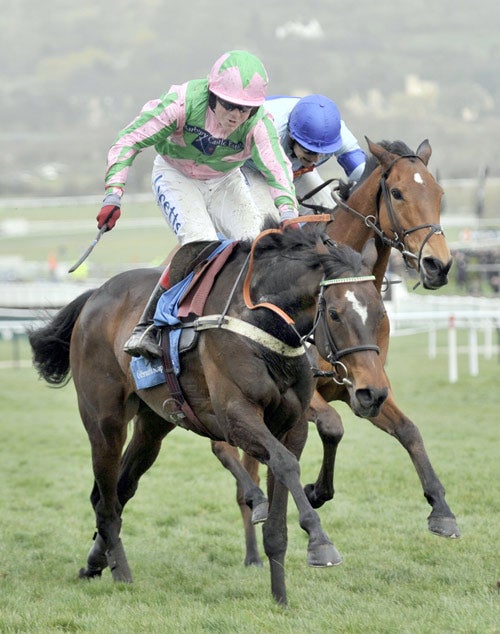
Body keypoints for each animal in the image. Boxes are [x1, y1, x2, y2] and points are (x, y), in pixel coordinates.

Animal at [29, 221, 390, 604]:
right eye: (334, 313)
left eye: (381, 312)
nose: (373, 393)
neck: (263, 321)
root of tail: (95, 295)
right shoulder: (237, 418)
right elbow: (285, 463)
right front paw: (320, 542)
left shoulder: (291, 426)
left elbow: (280, 505)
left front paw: (280, 597)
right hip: (104, 422)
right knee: (107, 501)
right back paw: (122, 574)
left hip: (153, 426)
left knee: (116, 490)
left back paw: (96, 563)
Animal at [213, 136, 458, 564]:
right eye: (397, 193)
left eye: (439, 193)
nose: (437, 265)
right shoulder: (305, 394)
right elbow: (332, 426)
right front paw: (315, 493)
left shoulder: (366, 387)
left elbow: (409, 431)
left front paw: (441, 510)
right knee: (226, 450)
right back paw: (257, 505)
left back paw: (256, 546)